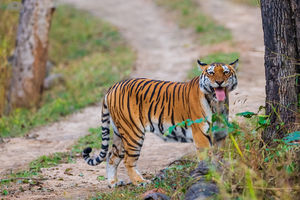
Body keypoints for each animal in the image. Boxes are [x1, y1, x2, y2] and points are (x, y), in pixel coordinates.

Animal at [82, 58, 239, 187]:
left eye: (226, 72)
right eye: (211, 73)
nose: (219, 82)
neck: (217, 104)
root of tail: (113, 86)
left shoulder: (220, 135)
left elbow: (219, 157)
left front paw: (221, 172)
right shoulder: (201, 134)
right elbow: (207, 158)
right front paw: (211, 175)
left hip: (119, 134)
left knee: (111, 157)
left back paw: (113, 183)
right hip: (133, 133)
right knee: (128, 161)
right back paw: (140, 182)